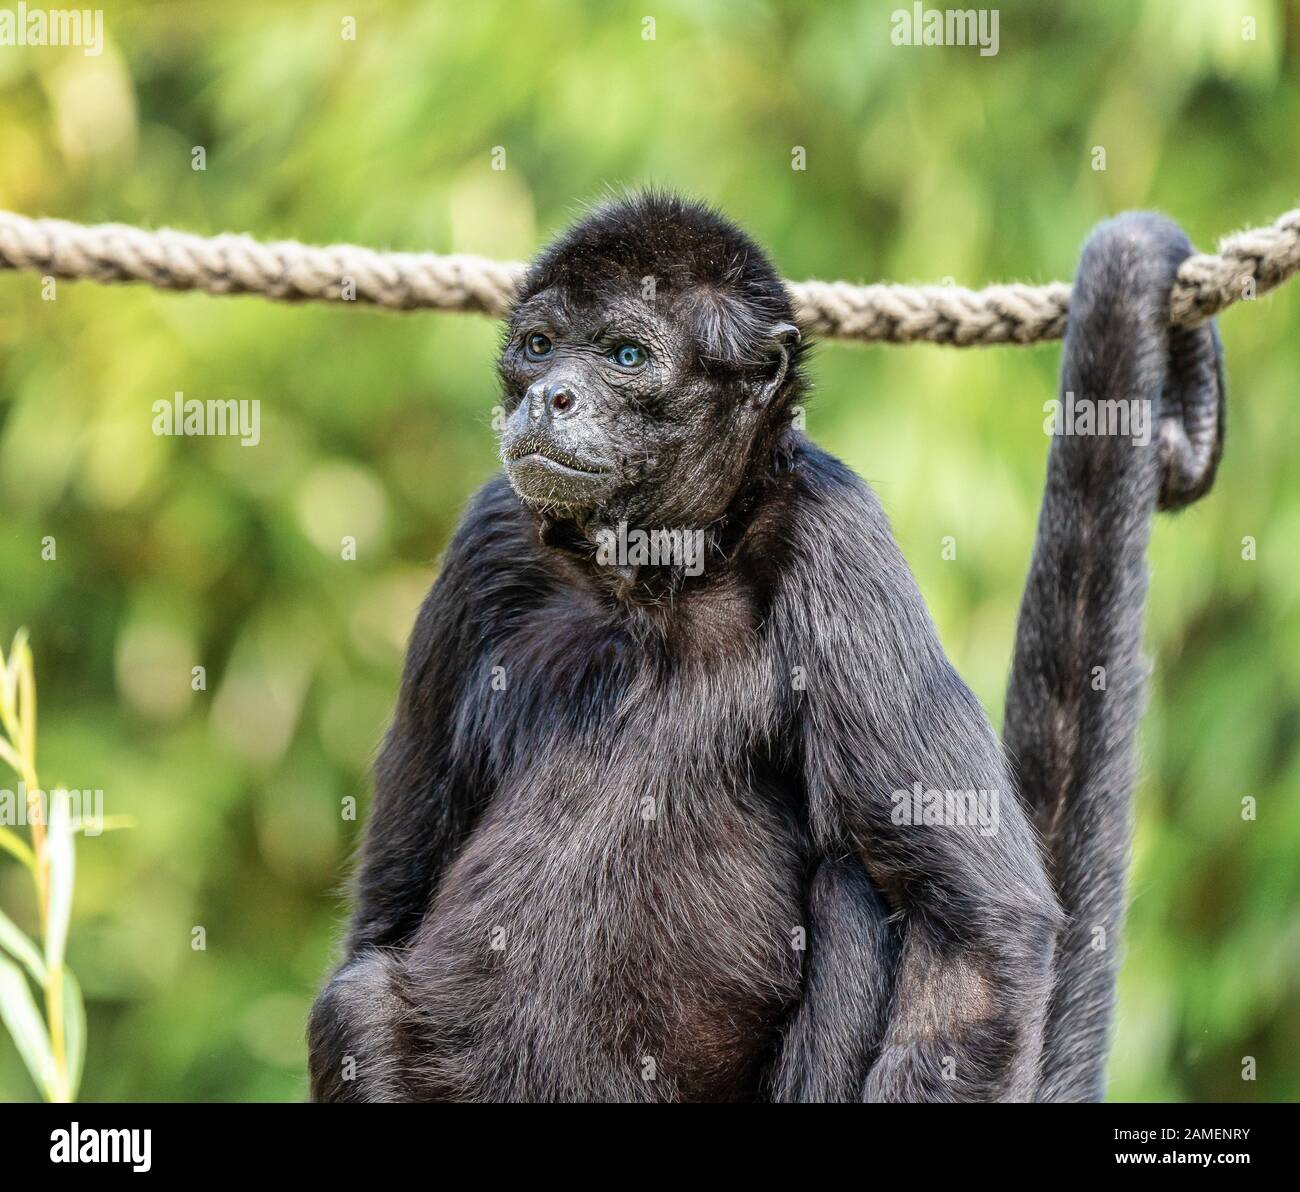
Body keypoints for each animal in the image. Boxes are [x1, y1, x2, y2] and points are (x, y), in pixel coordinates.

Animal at [309, 192, 1222, 1097]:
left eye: (625, 355)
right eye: (539, 347)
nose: (549, 397)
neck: (654, 575)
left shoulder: (832, 525)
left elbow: (979, 940)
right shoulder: (489, 535)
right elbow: (383, 913)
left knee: (857, 891)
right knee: (355, 1004)